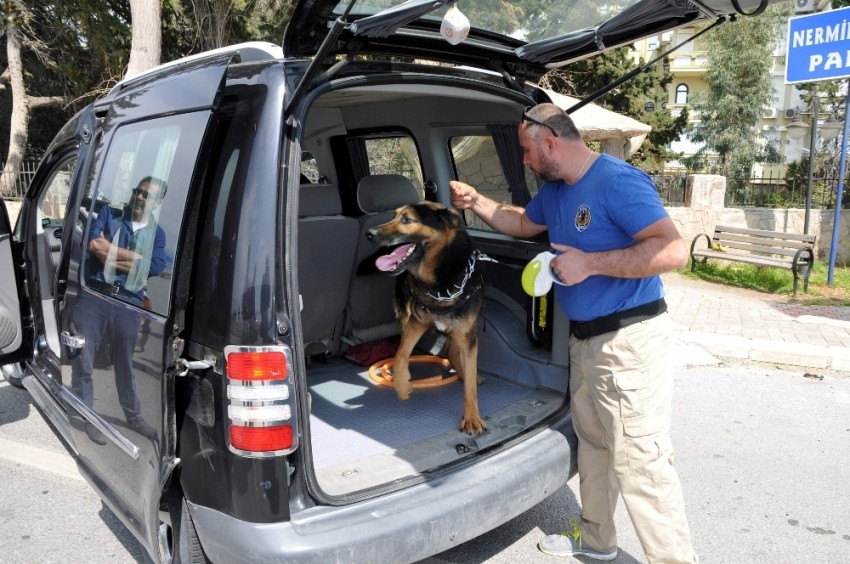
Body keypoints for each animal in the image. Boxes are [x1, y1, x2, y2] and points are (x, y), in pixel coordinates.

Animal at [362, 203, 484, 436]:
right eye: (394, 216)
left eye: (407, 220)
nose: (369, 234)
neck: (439, 280)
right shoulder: (416, 322)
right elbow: (400, 355)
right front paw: (403, 385)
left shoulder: (468, 336)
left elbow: (470, 386)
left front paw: (472, 418)